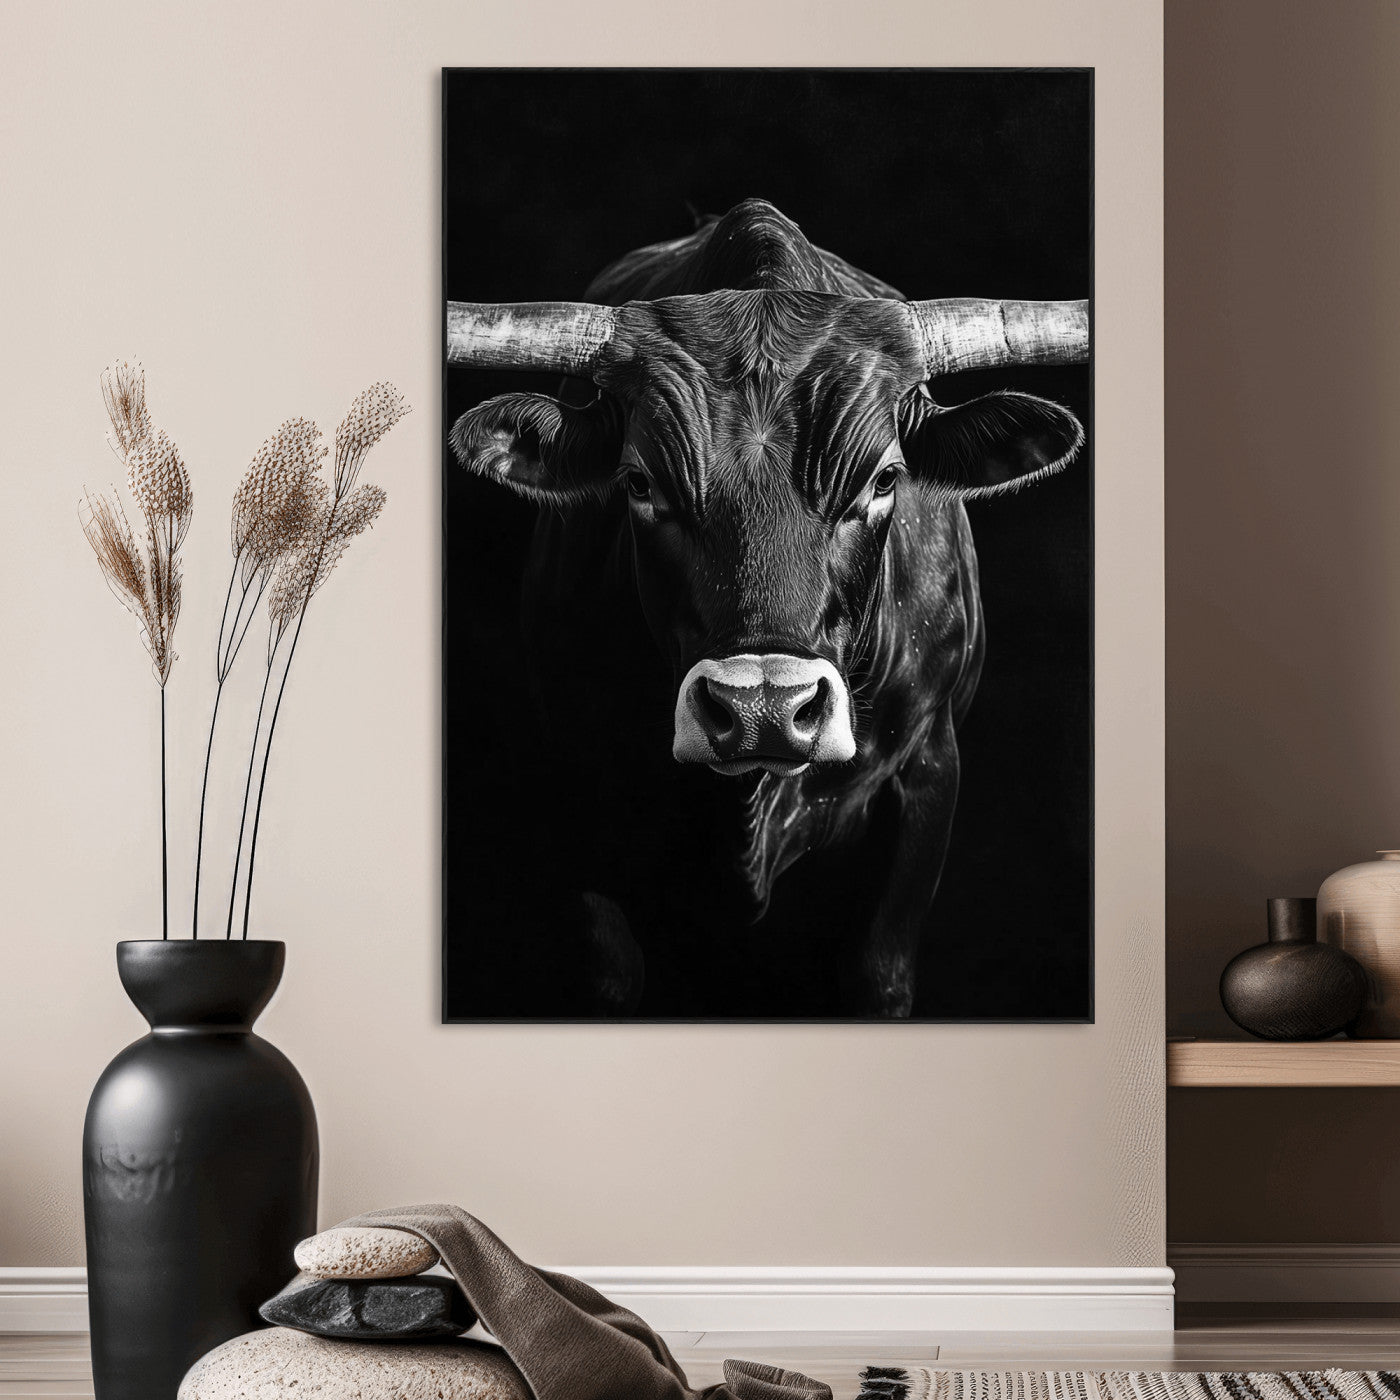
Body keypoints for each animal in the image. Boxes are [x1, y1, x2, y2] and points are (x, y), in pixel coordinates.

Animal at [447, 198, 1088, 1018]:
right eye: (639, 483)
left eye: (884, 479)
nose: (762, 709)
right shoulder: (579, 778)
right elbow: (611, 975)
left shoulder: (929, 772)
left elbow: (878, 972)